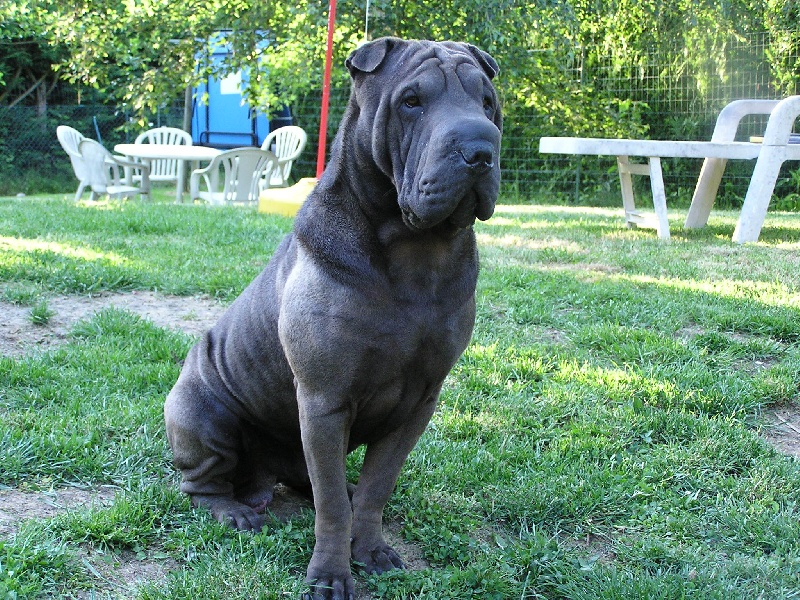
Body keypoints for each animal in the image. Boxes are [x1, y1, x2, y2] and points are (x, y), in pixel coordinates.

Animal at [162, 37, 500, 600]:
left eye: (487, 101)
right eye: (412, 101)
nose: (481, 148)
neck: (416, 252)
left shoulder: (418, 404)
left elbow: (375, 489)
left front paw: (373, 550)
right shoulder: (324, 400)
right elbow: (334, 510)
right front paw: (330, 575)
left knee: (326, 483)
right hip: (202, 414)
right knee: (204, 483)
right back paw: (235, 513)